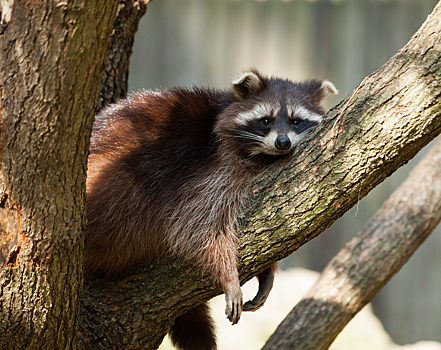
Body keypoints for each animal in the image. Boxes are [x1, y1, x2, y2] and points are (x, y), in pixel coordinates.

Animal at [83, 69, 336, 348]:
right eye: (265, 121)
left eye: (297, 121)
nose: (283, 142)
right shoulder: (209, 169)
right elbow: (195, 228)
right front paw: (229, 274)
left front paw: (267, 272)